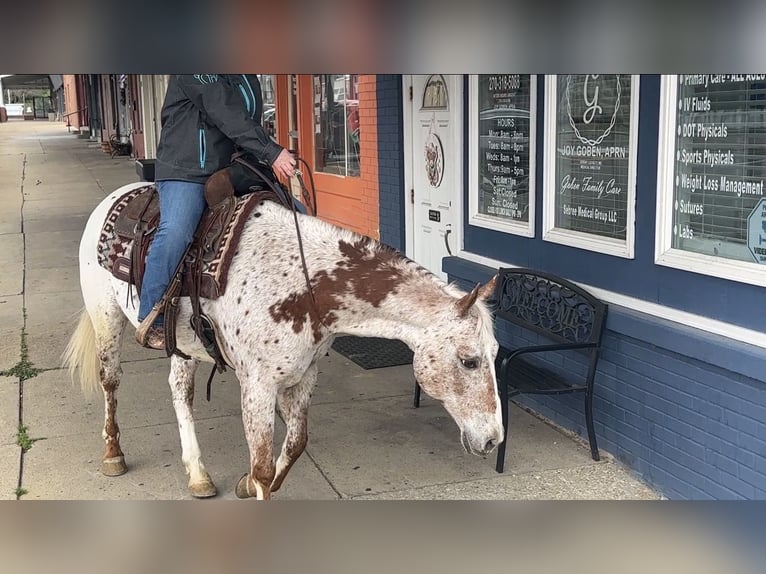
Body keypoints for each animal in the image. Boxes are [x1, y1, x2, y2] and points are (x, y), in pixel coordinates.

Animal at [62, 181, 503, 500]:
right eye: (469, 360)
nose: (494, 439)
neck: (303, 285)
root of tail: (115, 198)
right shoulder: (257, 387)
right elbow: (262, 468)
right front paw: (253, 482)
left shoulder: (303, 376)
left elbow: (293, 447)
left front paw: (245, 483)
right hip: (107, 320)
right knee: (111, 382)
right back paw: (113, 453)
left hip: (182, 343)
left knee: (180, 392)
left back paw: (198, 474)